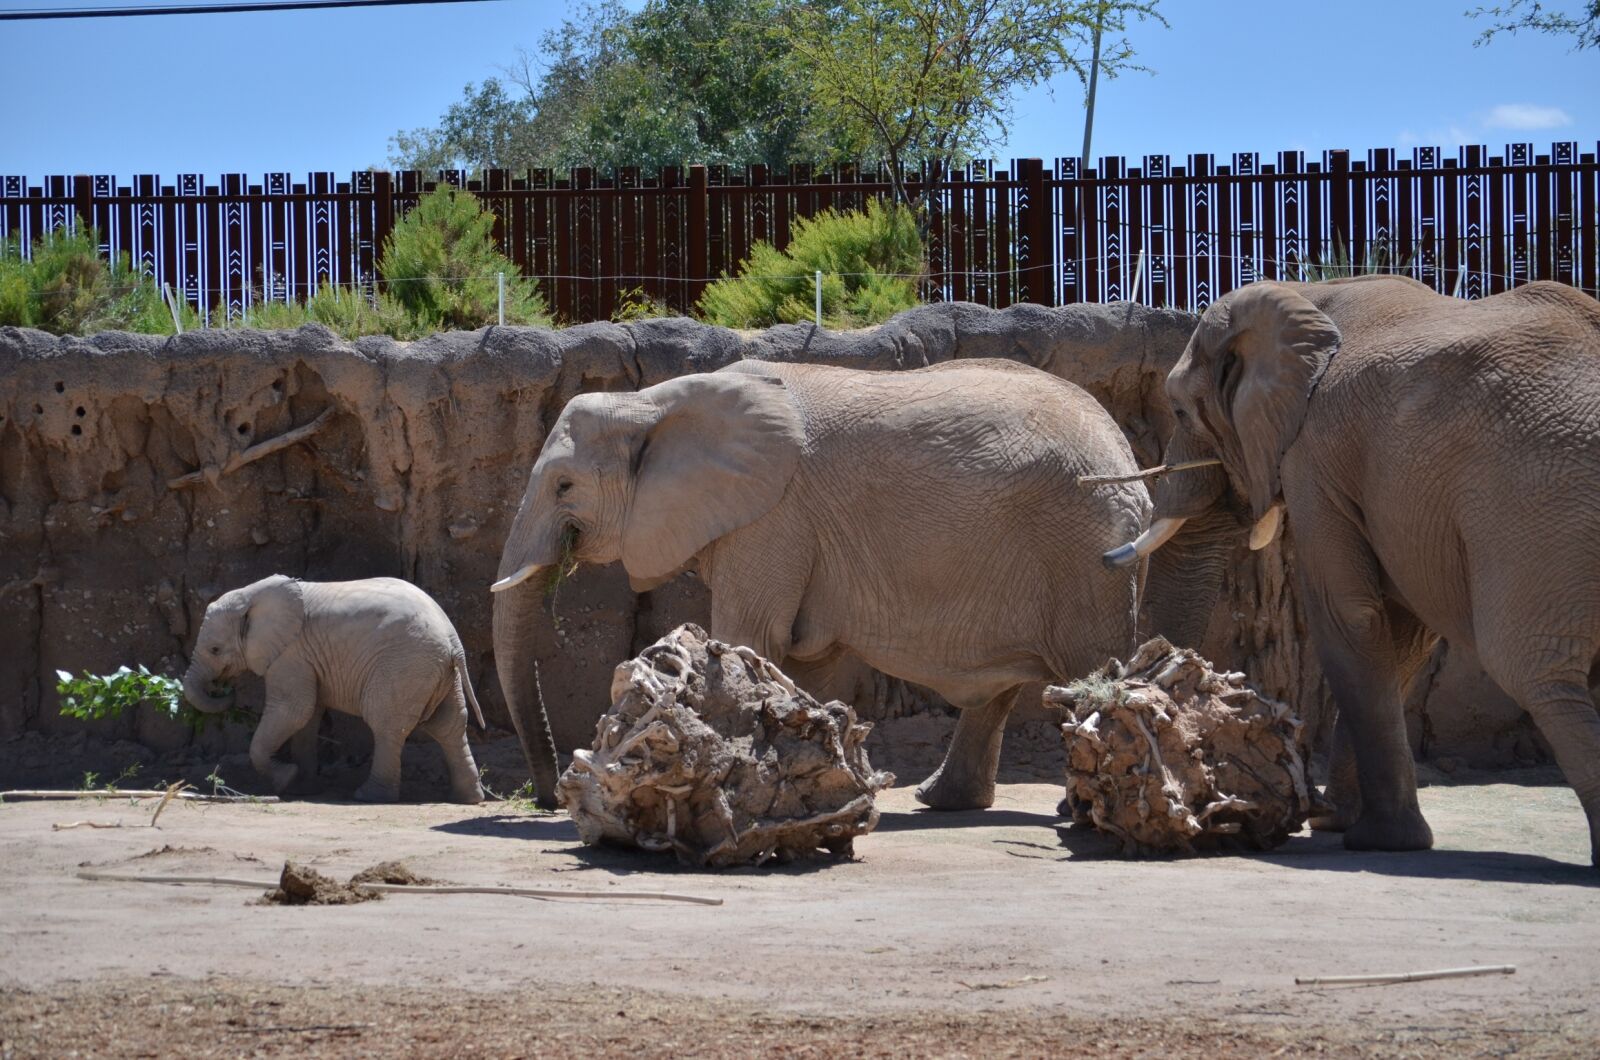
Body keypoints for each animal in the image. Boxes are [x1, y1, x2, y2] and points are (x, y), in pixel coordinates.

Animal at [183, 575, 487, 804]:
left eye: (215, 650)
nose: (225, 689)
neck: (251, 596)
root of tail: (453, 641)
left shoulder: (291, 653)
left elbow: (293, 710)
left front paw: (285, 778)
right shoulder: (304, 657)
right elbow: (308, 717)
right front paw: (302, 788)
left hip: (405, 666)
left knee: (386, 724)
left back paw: (369, 796)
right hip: (440, 672)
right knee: (450, 726)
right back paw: (468, 798)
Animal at [490, 357, 1166, 811]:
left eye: (564, 486)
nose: (543, 797)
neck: (651, 402)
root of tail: (1130, 461)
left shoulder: (772, 517)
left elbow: (748, 638)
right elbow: (808, 663)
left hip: (1083, 550)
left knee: (1088, 670)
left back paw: (1075, 807)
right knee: (999, 691)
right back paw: (939, 801)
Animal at [1107, 275, 1600, 866]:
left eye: (1179, 412)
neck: (1310, 291)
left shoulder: (1314, 454)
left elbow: (1348, 619)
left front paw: (1379, 840)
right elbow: (1400, 635)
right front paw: (1333, 820)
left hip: (1537, 501)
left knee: (1533, 670)